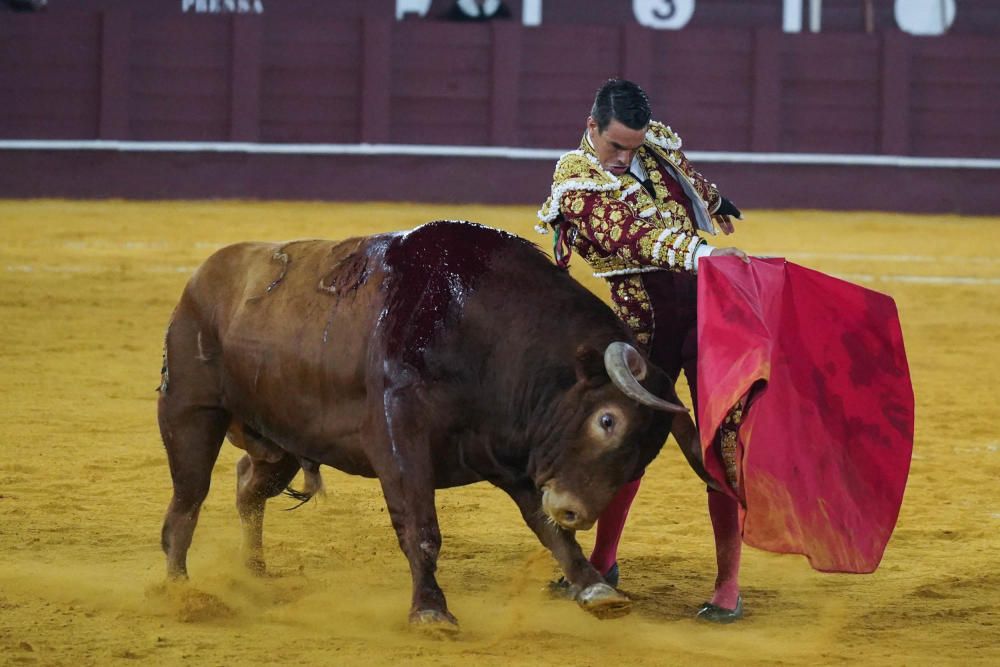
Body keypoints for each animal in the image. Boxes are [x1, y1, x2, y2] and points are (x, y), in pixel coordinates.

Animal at [158, 220, 704, 632]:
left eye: (647, 454)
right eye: (607, 420)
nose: (577, 510)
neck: (487, 335)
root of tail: (200, 279)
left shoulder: (513, 459)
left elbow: (549, 531)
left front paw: (595, 588)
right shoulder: (402, 440)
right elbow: (421, 528)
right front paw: (431, 611)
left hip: (281, 443)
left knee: (247, 488)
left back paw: (253, 573)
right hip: (189, 412)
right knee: (187, 504)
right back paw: (181, 593)